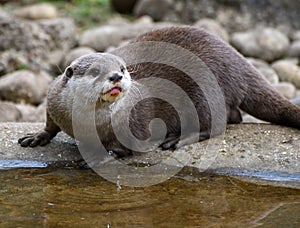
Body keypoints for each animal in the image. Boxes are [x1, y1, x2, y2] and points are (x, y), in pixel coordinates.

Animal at [18, 26, 300, 155]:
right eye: (96, 71)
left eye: (122, 68)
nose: (116, 76)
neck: (89, 124)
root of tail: (238, 60)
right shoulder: (54, 101)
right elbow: (50, 123)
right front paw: (37, 136)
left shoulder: (138, 119)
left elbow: (134, 143)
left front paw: (112, 151)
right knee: (235, 117)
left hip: (204, 92)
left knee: (215, 125)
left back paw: (178, 139)